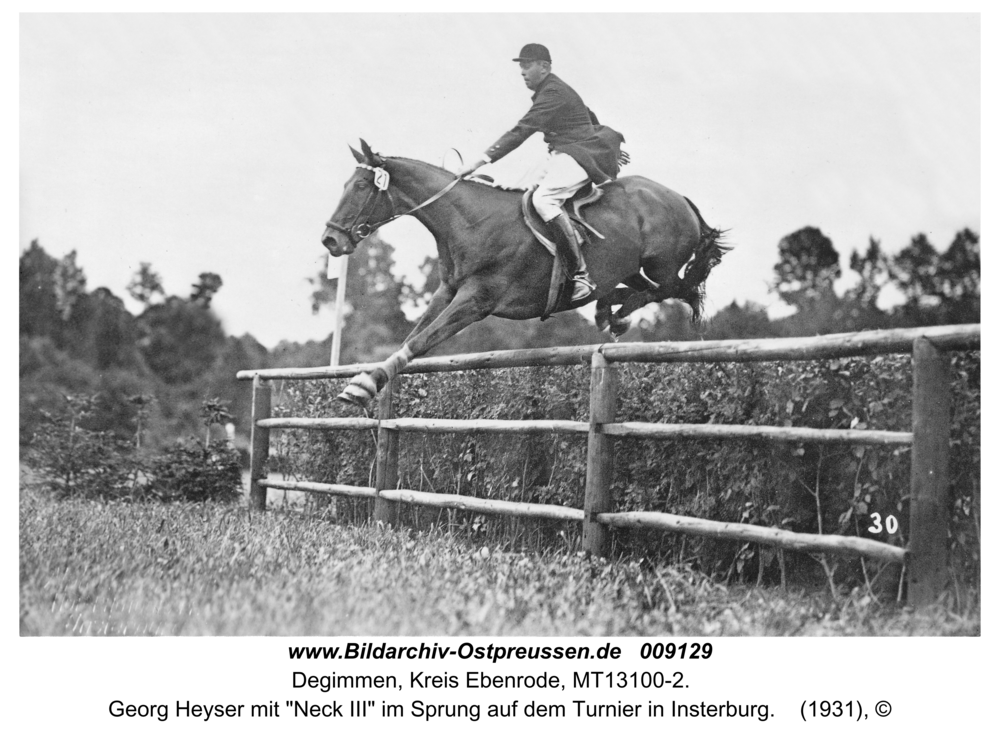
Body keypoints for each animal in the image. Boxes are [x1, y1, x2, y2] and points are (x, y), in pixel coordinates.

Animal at [320, 139, 728, 408]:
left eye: (360, 186)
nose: (330, 240)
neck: (468, 223)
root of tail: (679, 197)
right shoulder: (447, 292)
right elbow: (413, 335)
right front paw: (370, 379)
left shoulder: (476, 300)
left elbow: (422, 340)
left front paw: (364, 385)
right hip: (631, 270)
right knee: (650, 289)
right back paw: (607, 309)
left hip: (662, 264)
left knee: (679, 288)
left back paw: (610, 309)